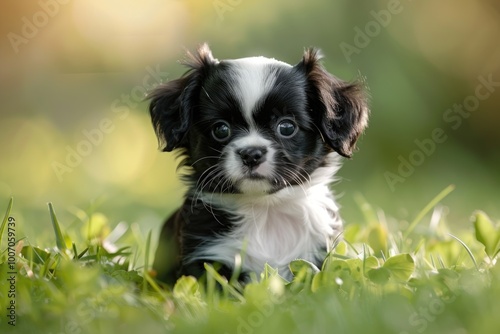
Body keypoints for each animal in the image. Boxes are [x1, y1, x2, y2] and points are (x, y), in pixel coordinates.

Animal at [147, 43, 368, 284]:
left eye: (287, 127)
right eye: (221, 129)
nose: (251, 154)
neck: (265, 210)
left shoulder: (316, 254)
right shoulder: (207, 255)